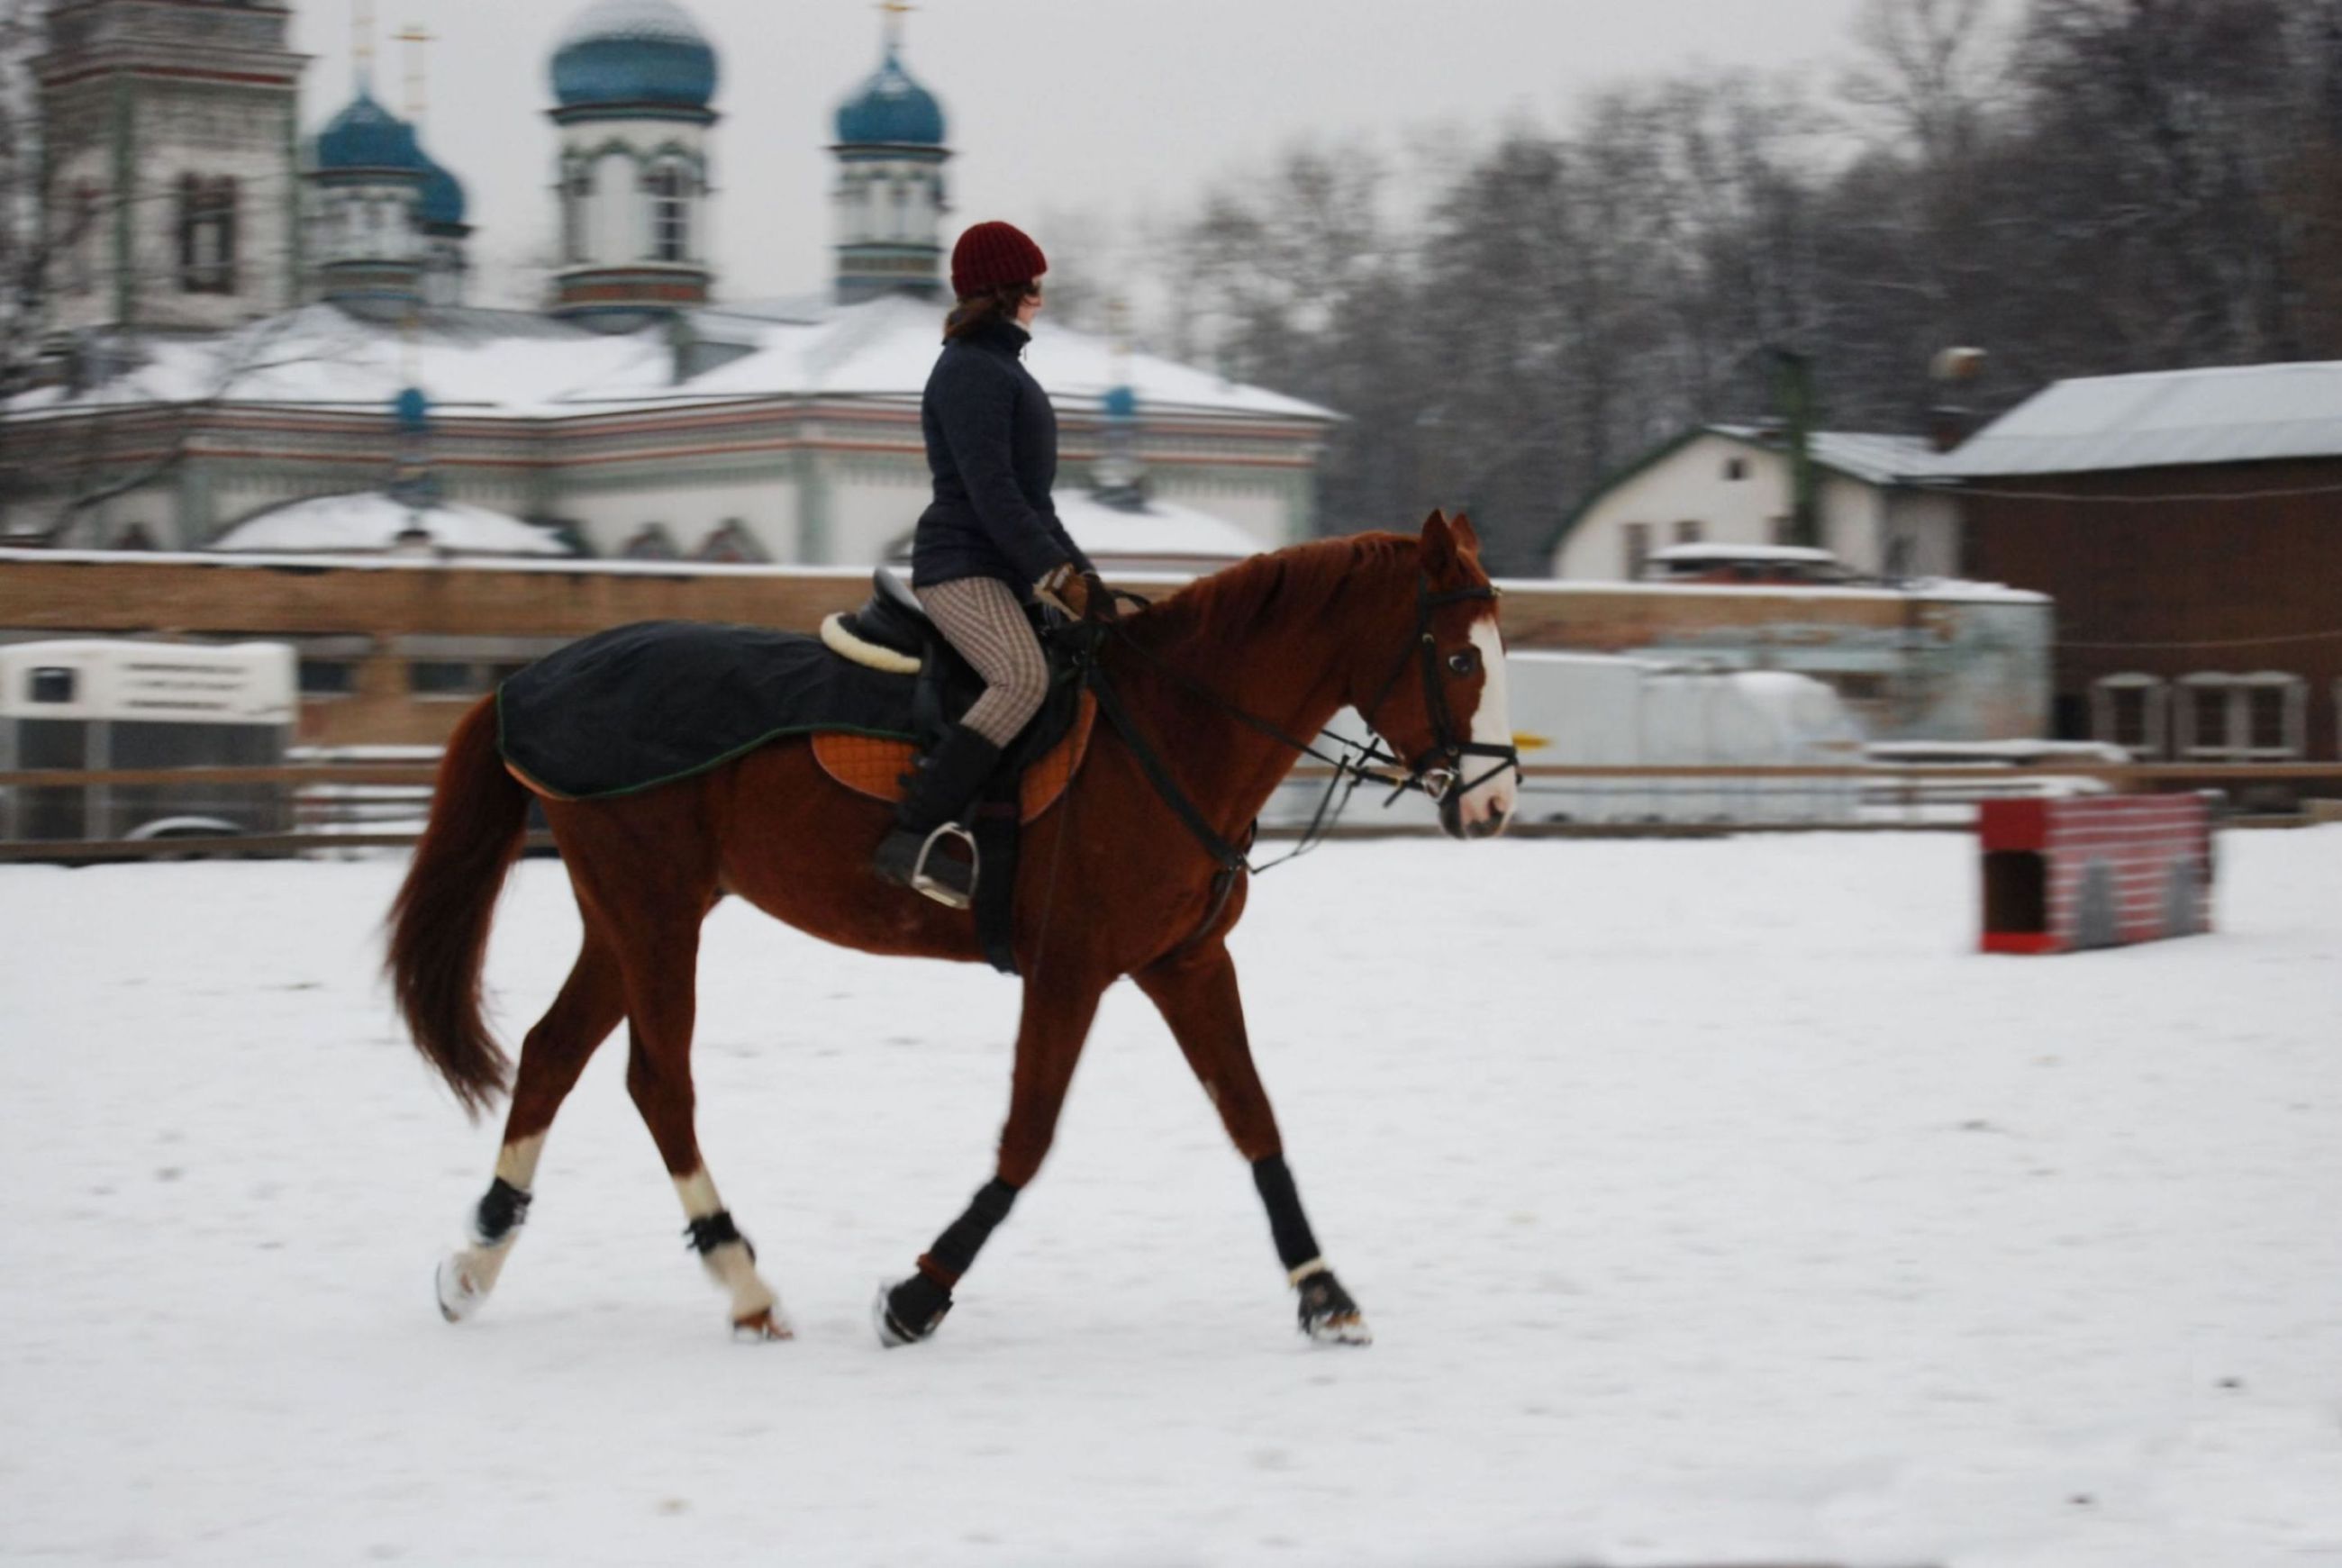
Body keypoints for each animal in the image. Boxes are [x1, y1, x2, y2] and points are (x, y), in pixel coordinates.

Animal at [388, 514, 1517, 1347]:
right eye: (1462, 658)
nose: (1496, 804)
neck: (1173, 730)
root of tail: (528, 680)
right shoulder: (1069, 970)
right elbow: (1026, 1138)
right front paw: (917, 1293)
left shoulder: (1185, 961)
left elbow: (1253, 1117)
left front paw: (1323, 1292)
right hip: (654, 909)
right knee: (656, 1081)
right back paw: (742, 1282)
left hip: (631, 914)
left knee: (552, 1053)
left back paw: (474, 1261)